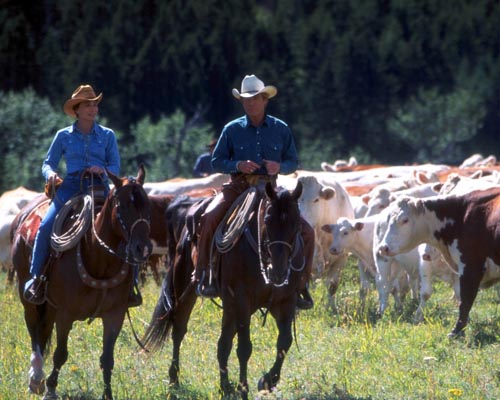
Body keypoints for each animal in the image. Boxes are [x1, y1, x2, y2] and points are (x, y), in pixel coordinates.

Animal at [11, 166, 152, 400]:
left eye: (147, 204)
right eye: (122, 206)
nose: (143, 247)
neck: (99, 259)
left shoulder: (115, 314)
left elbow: (107, 358)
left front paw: (108, 395)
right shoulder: (65, 314)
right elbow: (60, 354)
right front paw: (50, 389)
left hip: (50, 305)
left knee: (43, 328)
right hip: (29, 297)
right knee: (34, 330)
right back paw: (36, 378)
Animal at [143, 182, 306, 400]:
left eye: (296, 223)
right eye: (267, 220)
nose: (278, 272)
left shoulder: (285, 301)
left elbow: (284, 342)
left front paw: (267, 381)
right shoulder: (242, 300)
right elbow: (244, 348)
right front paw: (244, 389)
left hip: (230, 306)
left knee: (224, 343)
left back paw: (225, 386)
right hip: (186, 289)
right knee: (179, 330)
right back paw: (174, 380)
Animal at [376, 189, 500, 336]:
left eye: (405, 220)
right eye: (389, 219)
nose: (383, 248)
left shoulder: (469, 266)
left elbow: (465, 299)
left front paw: (457, 330)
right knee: (384, 284)